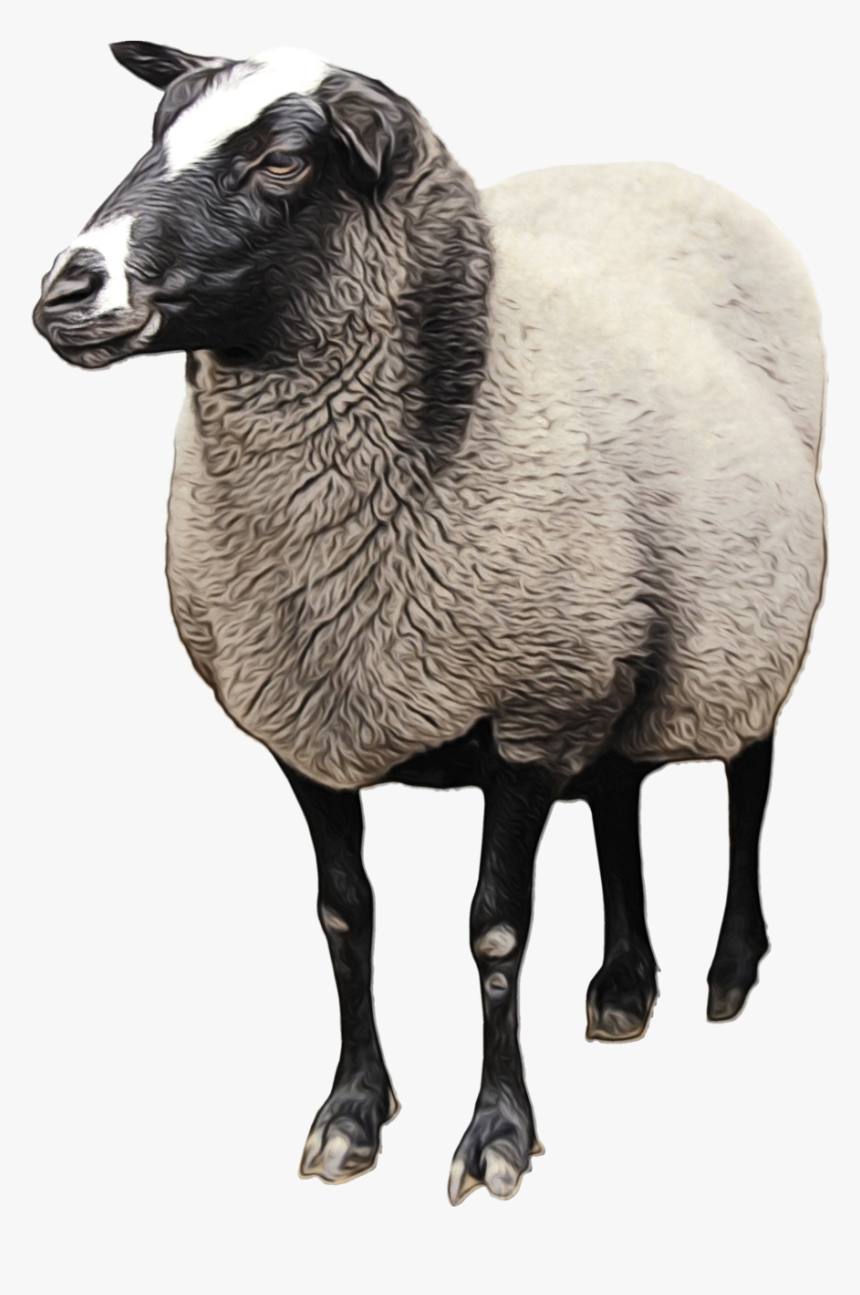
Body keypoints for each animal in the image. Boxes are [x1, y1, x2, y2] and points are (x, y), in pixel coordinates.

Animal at [33, 41, 826, 1206]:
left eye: (282, 159)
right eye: (156, 130)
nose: (65, 288)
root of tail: (654, 165)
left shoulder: (528, 718)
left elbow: (494, 932)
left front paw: (497, 1133)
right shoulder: (310, 725)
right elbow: (344, 916)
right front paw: (350, 1114)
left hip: (738, 621)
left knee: (748, 779)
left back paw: (729, 969)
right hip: (618, 645)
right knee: (620, 794)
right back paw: (623, 986)